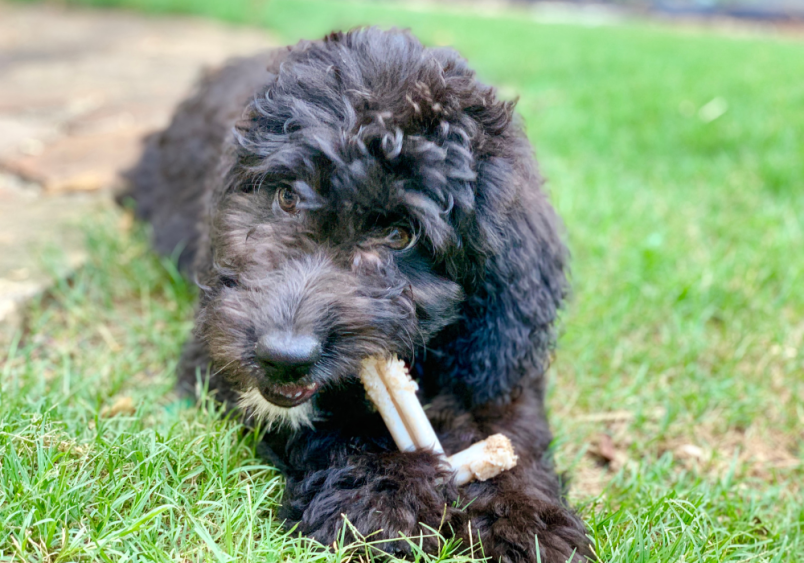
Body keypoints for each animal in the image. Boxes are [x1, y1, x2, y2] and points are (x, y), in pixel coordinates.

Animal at [122, 27, 592, 563]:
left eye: (400, 236)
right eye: (286, 197)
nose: (283, 357)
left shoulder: (497, 356)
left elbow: (512, 428)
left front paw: (529, 520)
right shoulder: (216, 345)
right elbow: (326, 429)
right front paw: (383, 499)